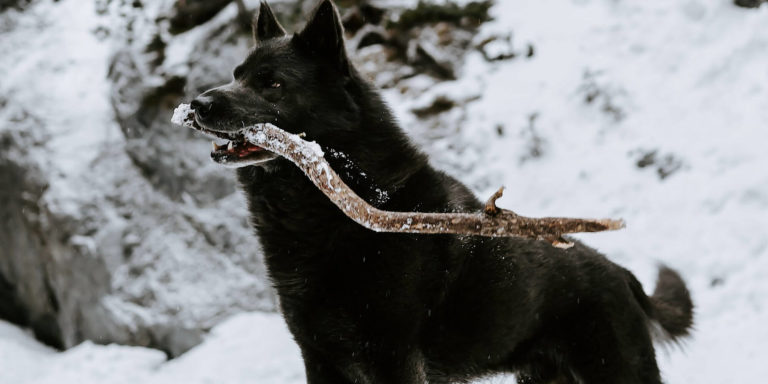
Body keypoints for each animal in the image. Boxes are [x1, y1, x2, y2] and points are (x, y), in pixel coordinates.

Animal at [189, 1, 692, 382]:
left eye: (273, 83)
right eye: (236, 74)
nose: (197, 103)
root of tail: (623, 276)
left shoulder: (393, 358)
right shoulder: (321, 359)